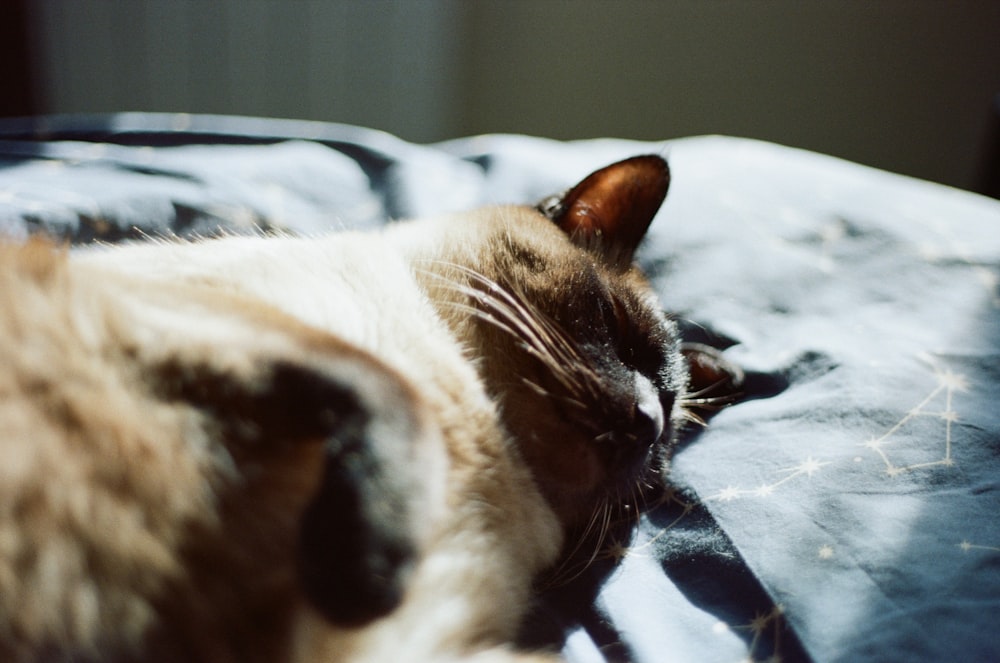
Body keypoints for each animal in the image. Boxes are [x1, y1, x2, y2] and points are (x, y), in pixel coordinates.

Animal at [0, 154, 736, 663]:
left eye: (665, 431)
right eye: (612, 326)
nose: (645, 419)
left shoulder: (418, 644)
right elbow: (393, 390)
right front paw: (370, 570)